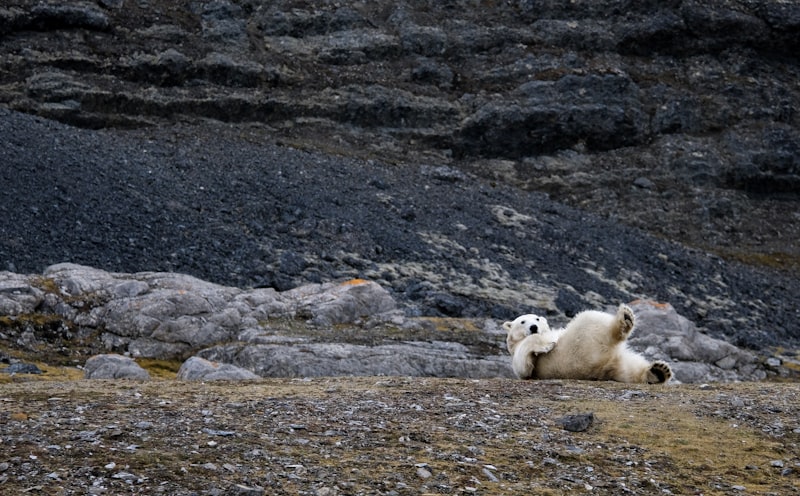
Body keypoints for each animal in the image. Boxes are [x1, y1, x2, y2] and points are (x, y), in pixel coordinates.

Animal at [504, 303, 672, 384]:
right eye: (522, 321)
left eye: (537, 319)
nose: (534, 327)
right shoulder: (522, 356)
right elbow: (524, 365)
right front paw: (547, 345)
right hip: (579, 344)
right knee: (590, 317)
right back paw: (625, 319)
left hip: (612, 362)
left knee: (629, 369)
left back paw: (658, 371)